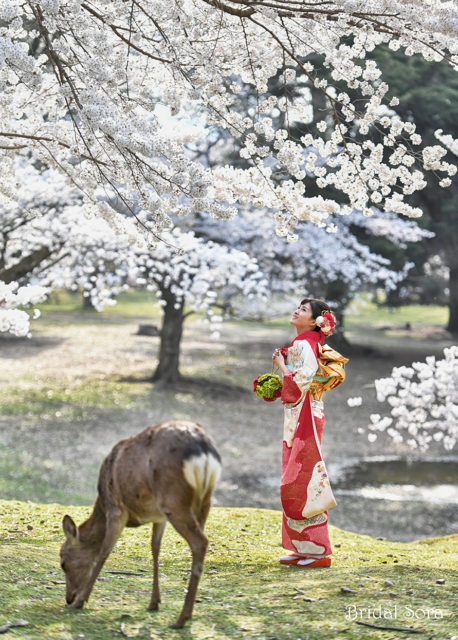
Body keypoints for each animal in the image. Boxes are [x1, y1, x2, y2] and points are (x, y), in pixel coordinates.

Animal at [60, 422, 221, 628]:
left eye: (63, 563)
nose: (69, 598)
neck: (102, 502)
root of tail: (204, 452)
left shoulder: (116, 509)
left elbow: (104, 552)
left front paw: (81, 601)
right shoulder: (159, 517)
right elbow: (155, 549)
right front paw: (154, 602)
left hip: (173, 500)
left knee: (200, 542)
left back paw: (181, 619)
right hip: (204, 501)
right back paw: (189, 614)